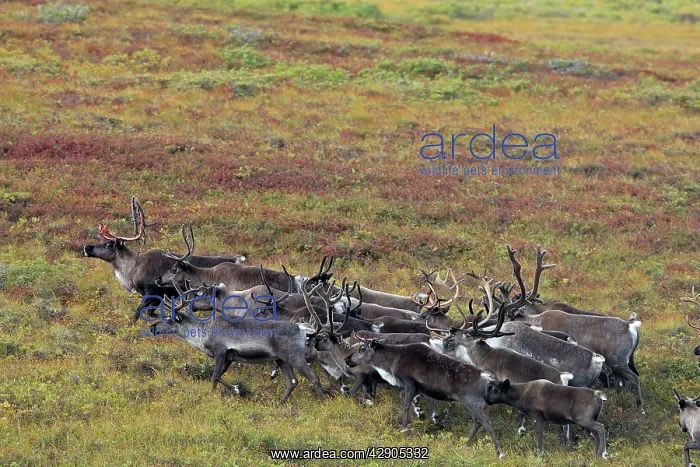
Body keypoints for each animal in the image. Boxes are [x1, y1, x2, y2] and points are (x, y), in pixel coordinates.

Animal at [83, 198, 245, 322]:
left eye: (108, 244)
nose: (87, 247)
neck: (132, 269)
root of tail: (238, 259)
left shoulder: (151, 292)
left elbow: (138, 313)